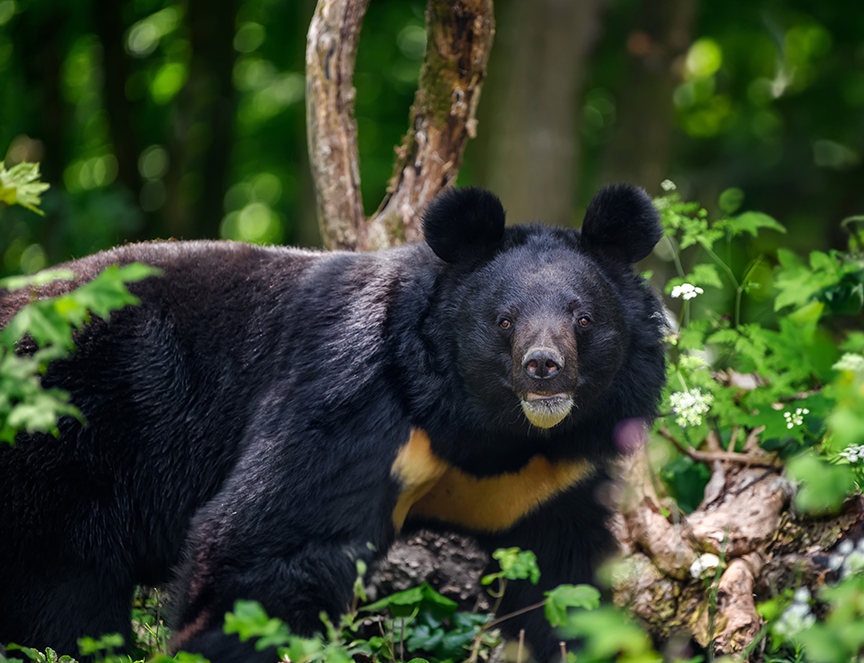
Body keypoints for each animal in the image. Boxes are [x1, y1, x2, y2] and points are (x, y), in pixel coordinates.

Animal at [0, 184, 666, 662]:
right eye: (504, 320)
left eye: (582, 319)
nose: (543, 368)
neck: (491, 432)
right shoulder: (353, 397)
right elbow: (268, 547)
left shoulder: (553, 478)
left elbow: (565, 584)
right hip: (65, 446)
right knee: (64, 595)